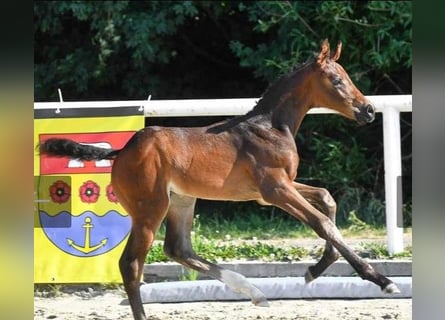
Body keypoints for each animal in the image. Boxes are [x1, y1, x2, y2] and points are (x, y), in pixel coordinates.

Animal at [38, 40, 398, 320]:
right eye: (337, 80)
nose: (368, 110)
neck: (270, 126)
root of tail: (123, 150)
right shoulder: (275, 189)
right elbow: (322, 222)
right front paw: (381, 280)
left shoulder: (276, 188)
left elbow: (326, 198)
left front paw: (315, 270)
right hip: (150, 208)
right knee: (131, 264)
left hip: (181, 200)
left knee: (178, 248)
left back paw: (255, 292)